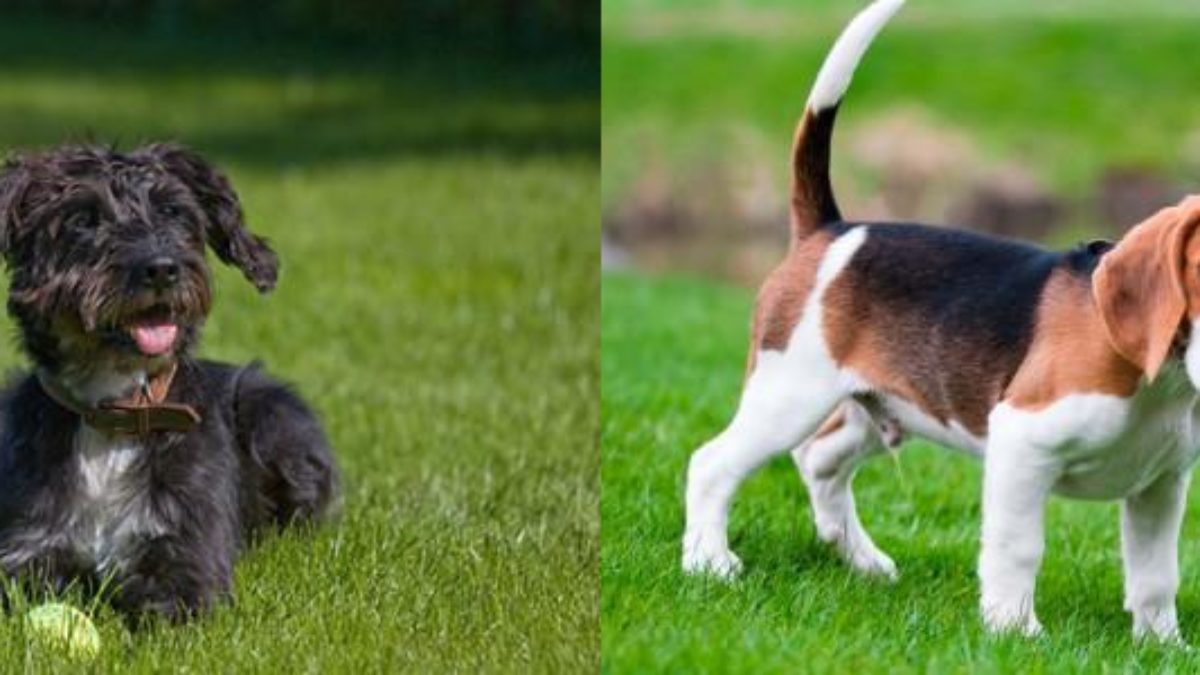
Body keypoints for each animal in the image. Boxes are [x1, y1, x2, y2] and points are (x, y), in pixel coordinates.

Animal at [0, 144, 338, 624]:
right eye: (83, 219)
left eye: (173, 211)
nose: (160, 269)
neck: (115, 412)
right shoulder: (27, 547)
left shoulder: (186, 552)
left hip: (273, 416)